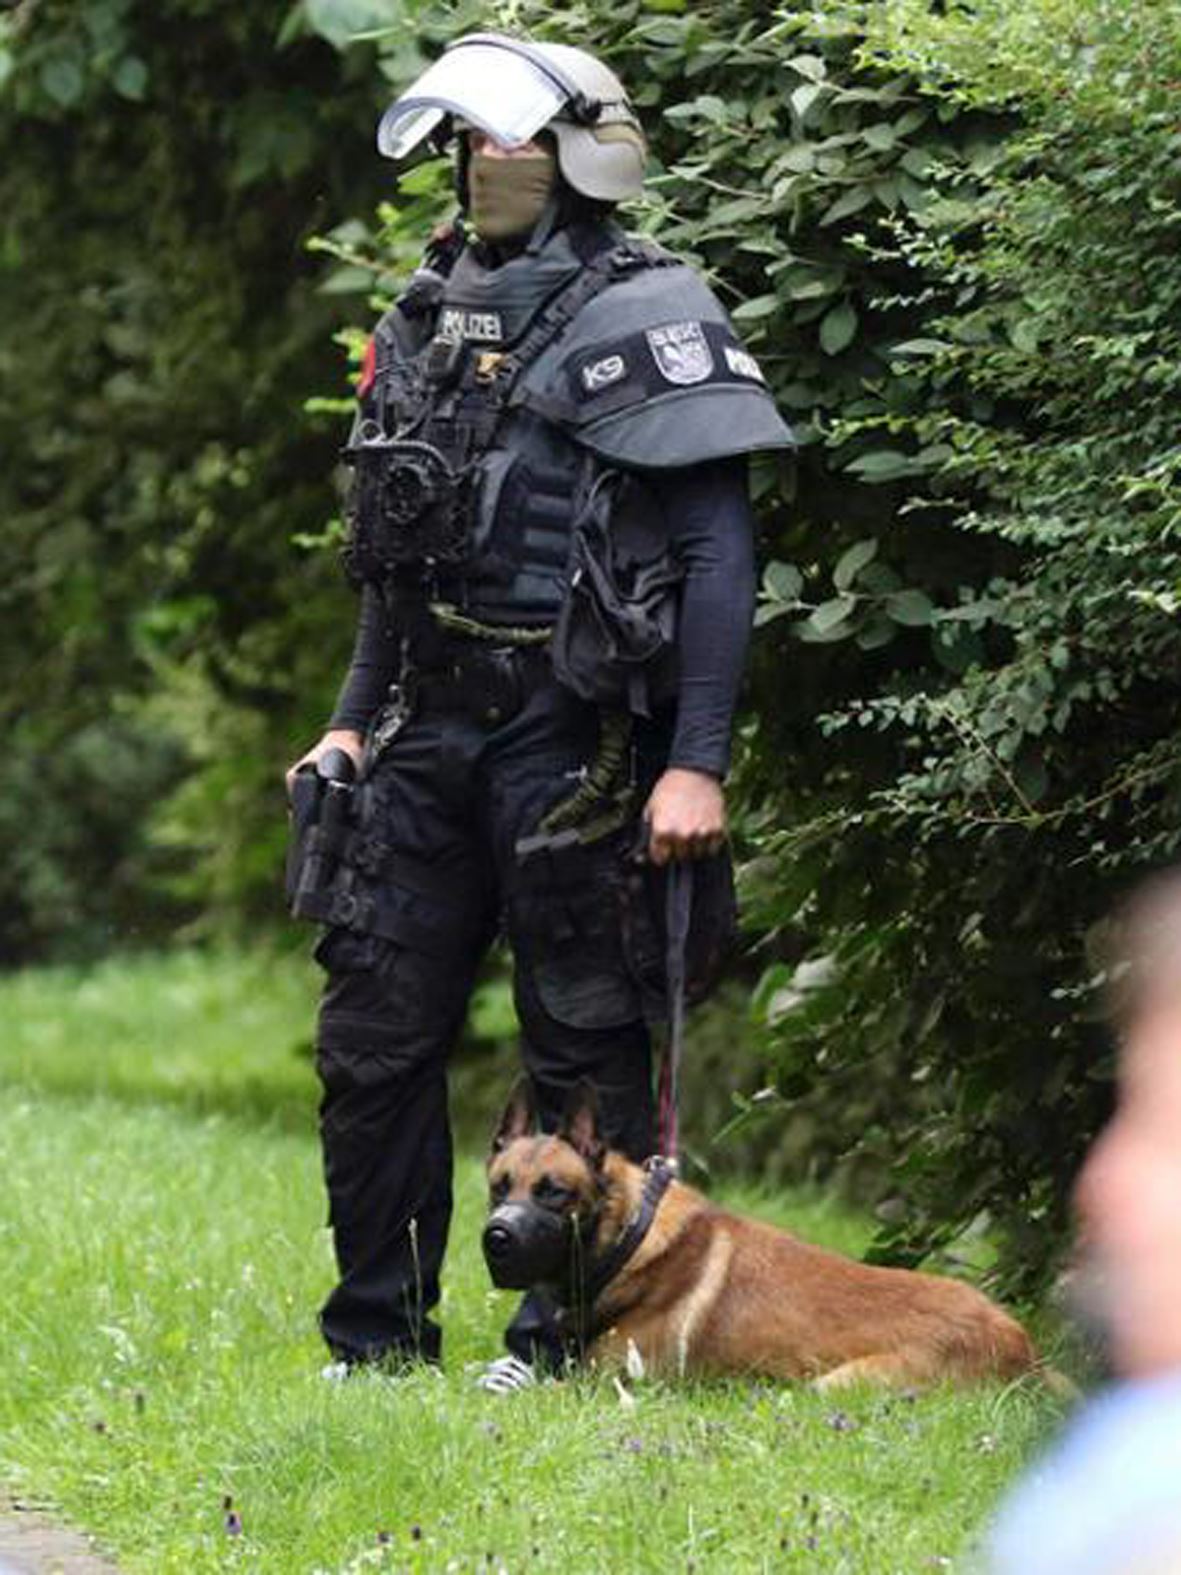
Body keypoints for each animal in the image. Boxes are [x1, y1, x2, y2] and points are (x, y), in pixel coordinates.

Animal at [483, 1079, 1045, 1389]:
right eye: (499, 1187)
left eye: (554, 1193)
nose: (497, 1238)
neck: (628, 1239)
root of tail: (1024, 1348)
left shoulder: (608, 1386)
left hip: (838, 1385)